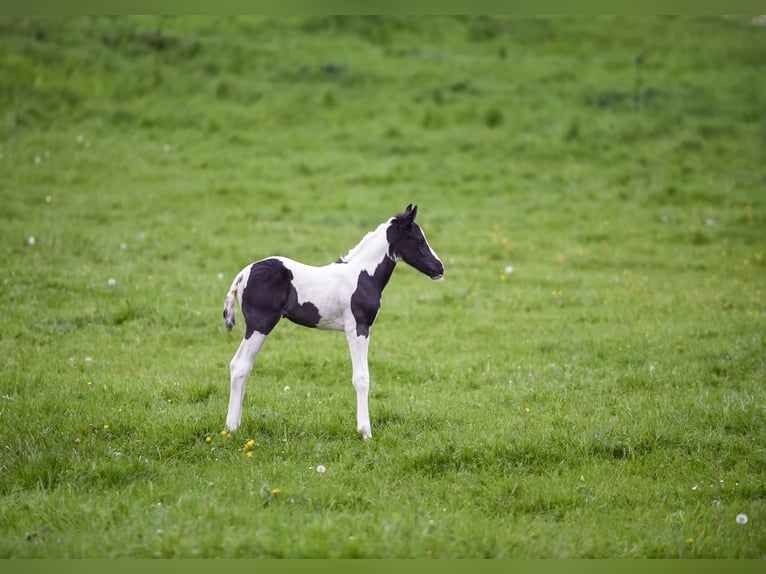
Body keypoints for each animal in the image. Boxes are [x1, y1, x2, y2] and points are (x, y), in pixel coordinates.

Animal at [222, 204, 444, 439]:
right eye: (418, 239)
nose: (440, 268)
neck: (362, 275)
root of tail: (242, 274)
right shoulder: (358, 328)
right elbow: (361, 377)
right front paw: (365, 432)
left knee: (242, 365)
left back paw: (235, 425)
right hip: (260, 324)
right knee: (240, 366)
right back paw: (232, 427)